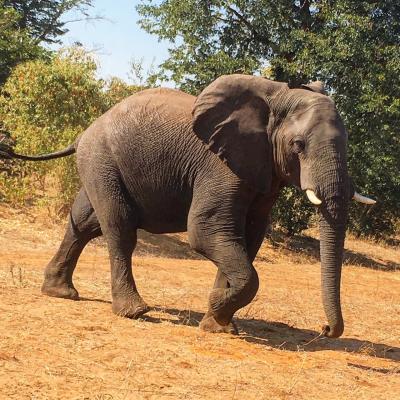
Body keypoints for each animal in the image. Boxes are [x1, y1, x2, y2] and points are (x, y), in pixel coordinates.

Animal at [0, 73, 376, 336]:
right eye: (298, 145)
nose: (324, 329)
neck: (275, 97)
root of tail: (83, 134)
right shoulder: (220, 166)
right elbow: (206, 231)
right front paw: (217, 308)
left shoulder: (263, 172)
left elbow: (248, 238)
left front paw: (218, 325)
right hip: (100, 159)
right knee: (119, 227)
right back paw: (134, 311)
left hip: (98, 164)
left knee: (83, 224)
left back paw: (59, 292)